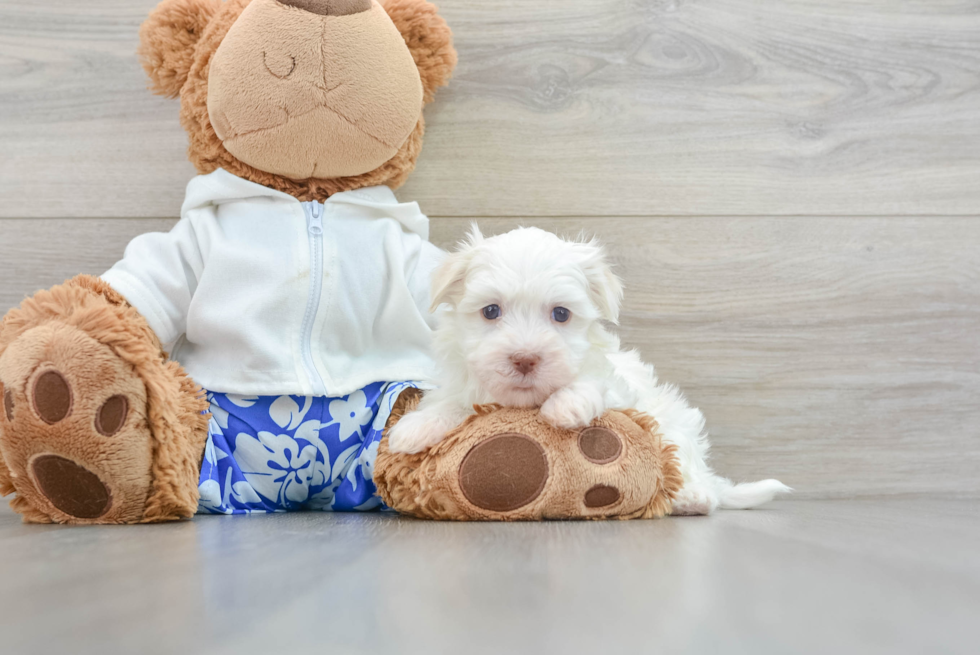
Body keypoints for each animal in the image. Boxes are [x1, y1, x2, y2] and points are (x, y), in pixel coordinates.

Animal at [386, 227, 792, 516]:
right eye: (490, 311)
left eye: (561, 314)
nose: (524, 358)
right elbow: (454, 402)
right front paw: (415, 427)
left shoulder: (621, 389)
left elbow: (595, 382)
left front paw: (567, 404)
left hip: (677, 429)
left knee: (692, 471)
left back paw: (692, 497)